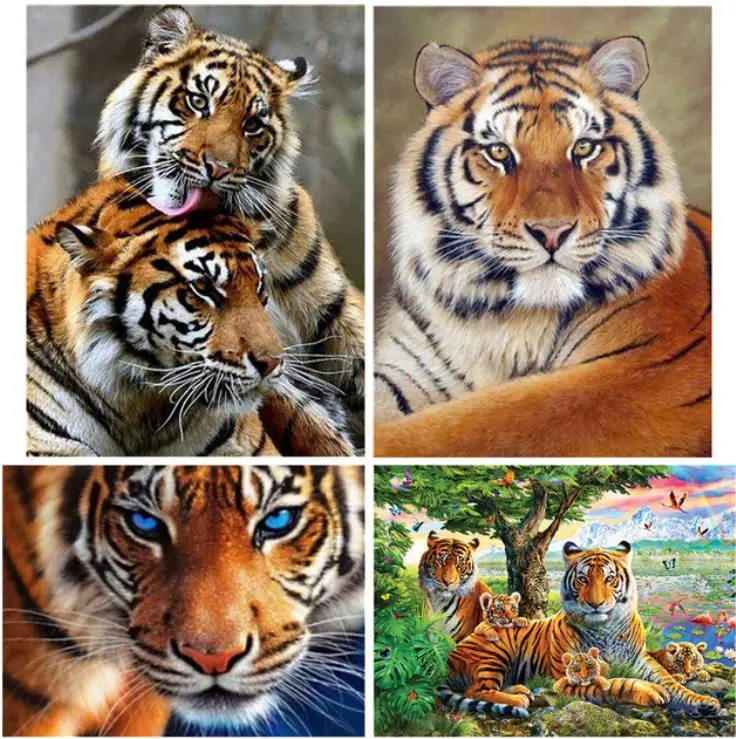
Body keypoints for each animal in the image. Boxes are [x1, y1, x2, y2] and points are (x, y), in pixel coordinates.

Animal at [375, 36, 711, 457]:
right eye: (499, 152)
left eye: (584, 148)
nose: (552, 232)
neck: (501, 319)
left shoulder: (641, 372)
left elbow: (469, 426)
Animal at [438, 541, 720, 718]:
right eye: (583, 579)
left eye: (609, 579)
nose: (595, 604)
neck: (606, 629)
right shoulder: (566, 679)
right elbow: (614, 684)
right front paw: (650, 691)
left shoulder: (641, 661)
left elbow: (672, 683)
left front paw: (705, 703)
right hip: (494, 654)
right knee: (476, 690)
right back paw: (519, 699)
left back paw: (521, 690)